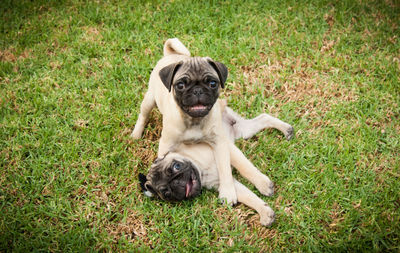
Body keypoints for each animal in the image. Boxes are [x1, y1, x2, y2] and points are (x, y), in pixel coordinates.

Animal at [131, 39, 238, 204]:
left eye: (213, 83)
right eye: (181, 85)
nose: (197, 90)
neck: (194, 120)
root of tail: (171, 55)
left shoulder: (219, 142)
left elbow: (224, 168)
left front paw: (227, 192)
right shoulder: (166, 144)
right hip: (149, 100)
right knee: (143, 115)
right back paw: (136, 134)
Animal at [140, 103, 294, 227]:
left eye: (176, 166)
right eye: (166, 193)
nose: (177, 183)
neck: (201, 169)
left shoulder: (226, 147)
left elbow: (245, 168)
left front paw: (262, 184)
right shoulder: (227, 185)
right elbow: (249, 197)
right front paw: (264, 211)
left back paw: (286, 129)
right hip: (244, 130)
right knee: (262, 118)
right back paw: (286, 129)